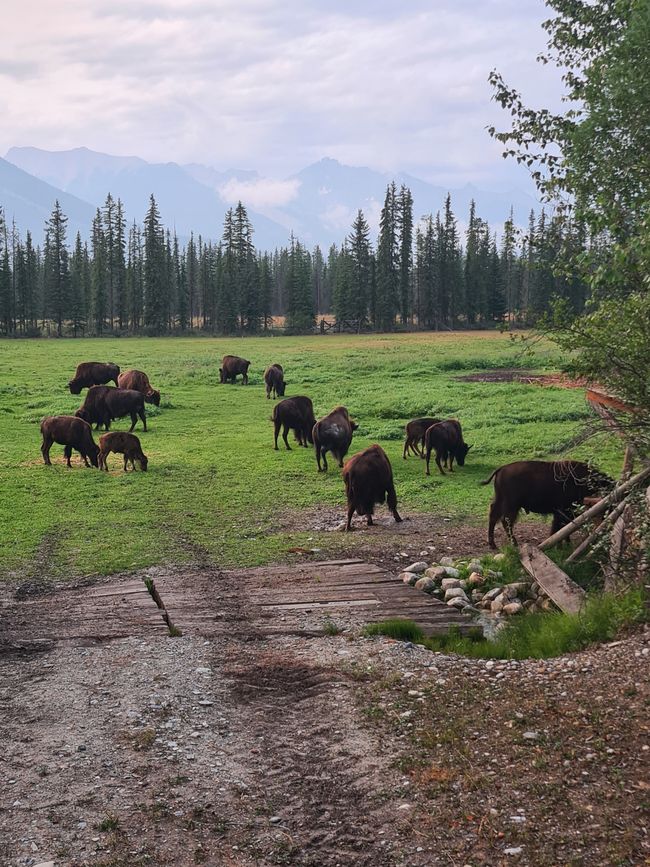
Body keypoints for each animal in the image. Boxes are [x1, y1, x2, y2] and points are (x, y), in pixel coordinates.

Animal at [480, 462, 612, 548]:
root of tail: (502, 469)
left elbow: (563, 525)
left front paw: (563, 543)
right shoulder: (563, 509)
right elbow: (561, 525)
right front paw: (559, 544)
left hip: (501, 501)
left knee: (494, 516)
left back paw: (493, 545)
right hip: (512, 505)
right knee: (505, 521)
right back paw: (514, 544)